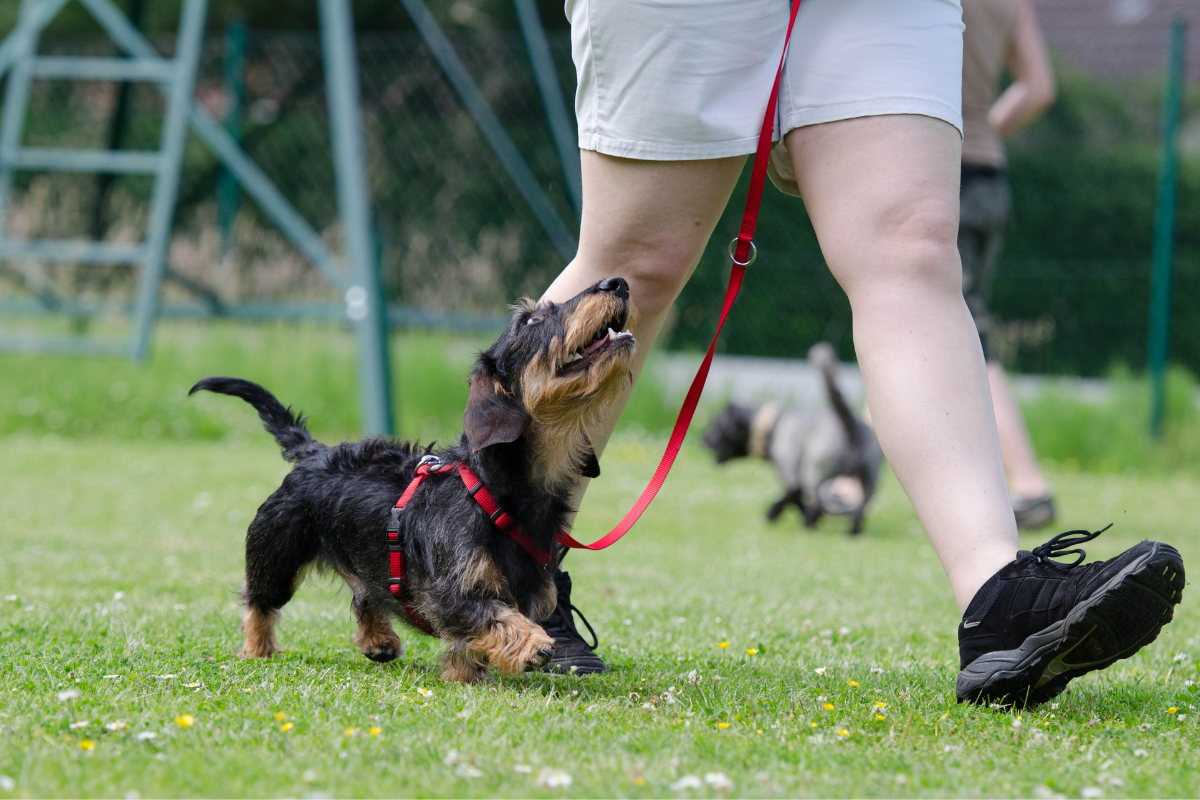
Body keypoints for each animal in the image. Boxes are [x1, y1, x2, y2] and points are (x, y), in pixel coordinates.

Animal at [189, 275, 638, 681]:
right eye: (530, 320)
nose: (617, 282)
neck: (495, 492)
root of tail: (315, 452)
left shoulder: (530, 592)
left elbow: (472, 641)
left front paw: (464, 674)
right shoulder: (448, 594)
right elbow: (493, 616)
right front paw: (531, 644)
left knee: (365, 594)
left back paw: (378, 640)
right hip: (276, 555)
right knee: (258, 603)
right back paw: (257, 648)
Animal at [700, 340, 883, 534]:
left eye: (716, 426)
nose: (701, 440)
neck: (772, 426)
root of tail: (850, 423)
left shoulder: (790, 473)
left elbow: (793, 497)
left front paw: (773, 514)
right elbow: (795, 498)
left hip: (814, 471)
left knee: (817, 501)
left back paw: (808, 524)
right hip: (869, 479)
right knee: (861, 507)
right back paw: (851, 532)